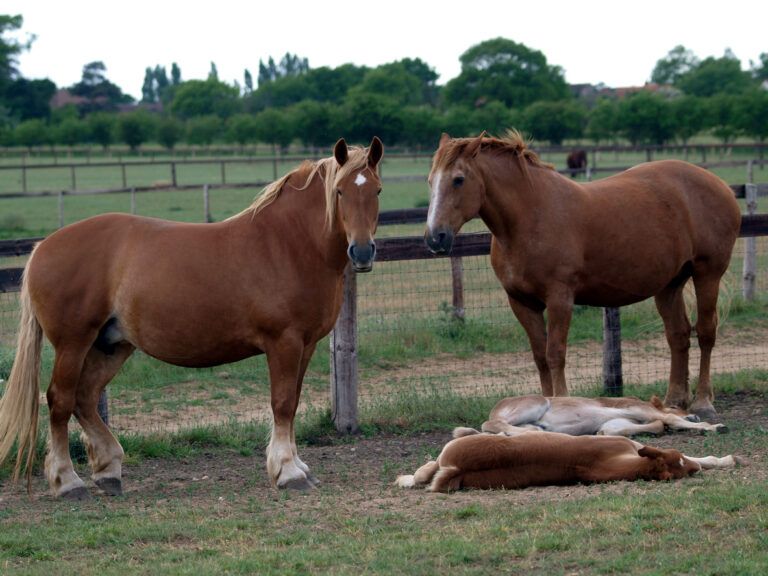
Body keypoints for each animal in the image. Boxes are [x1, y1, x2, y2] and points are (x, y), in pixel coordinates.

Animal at [0, 137, 384, 499]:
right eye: (339, 191)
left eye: (377, 190)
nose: (362, 251)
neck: (289, 244)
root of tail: (43, 247)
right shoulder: (284, 342)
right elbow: (283, 403)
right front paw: (288, 472)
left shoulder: (306, 344)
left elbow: (294, 401)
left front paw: (299, 467)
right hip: (73, 343)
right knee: (60, 400)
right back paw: (68, 481)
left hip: (111, 345)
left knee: (85, 397)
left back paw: (108, 471)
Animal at [424, 131, 741, 419]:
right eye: (430, 181)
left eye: (458, 179)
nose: (435, 237)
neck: (530, 217)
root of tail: (719, 184)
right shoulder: (521, 302)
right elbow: (540, 357)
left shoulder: (560, 299)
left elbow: (555, 354)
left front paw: (561, 403)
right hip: (669, 284)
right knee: (678, 335)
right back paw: (675, 400)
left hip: (707, 274)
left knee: (706, 333)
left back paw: (703, 401)